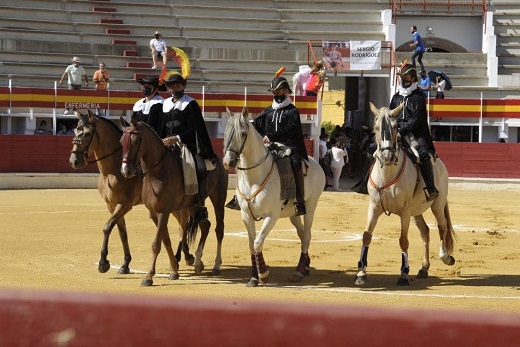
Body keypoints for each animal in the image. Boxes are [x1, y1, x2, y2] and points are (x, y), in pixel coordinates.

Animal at [121, 118, 229, 286]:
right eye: (121, 141)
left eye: (136, 140)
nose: (126, 170)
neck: (157, 172)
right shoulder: (155, 213)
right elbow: (165, 241)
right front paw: (174, 270)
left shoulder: (163, 212)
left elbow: (156, 244)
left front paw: (149, 276)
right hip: (191, 206)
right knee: (205, 225)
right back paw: (198, 262)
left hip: (218, 198)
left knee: (219, 229)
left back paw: (216, 265)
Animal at [356, 102, 458, 286]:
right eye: (376, 127)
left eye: (396, 127)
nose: (387, 156)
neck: (387, 174)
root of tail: (439, 164)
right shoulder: (374, 207)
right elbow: (366, 236)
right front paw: (361, 273)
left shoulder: (404, 212)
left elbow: (403, 241)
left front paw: (403, 274)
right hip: (415, 211)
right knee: (425, 231)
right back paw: (424, 268)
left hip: (437, 205)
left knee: (443, 226)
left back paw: (446, 257)